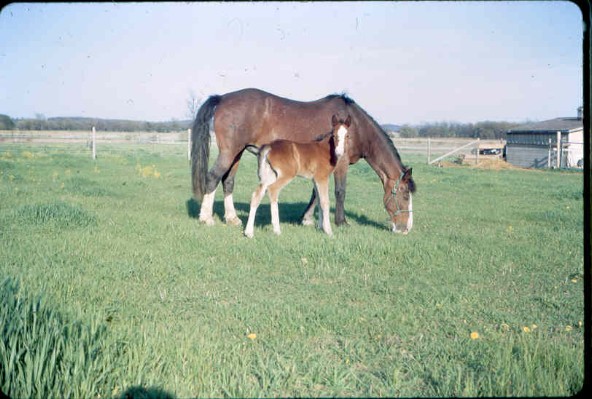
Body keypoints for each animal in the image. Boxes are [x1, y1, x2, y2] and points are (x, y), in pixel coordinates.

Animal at [192, 86, 414, 233]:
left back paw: (232, 218)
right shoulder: (340, 165)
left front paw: (307, 219)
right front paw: (341, 222)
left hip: (237, 153)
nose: (406, 228)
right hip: (229, 152)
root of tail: (222, 98)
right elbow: (340, 192)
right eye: (404, 195)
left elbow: (315, 193)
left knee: (227, 181)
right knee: (212, 177)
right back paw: (206, 218)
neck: (355, 127)